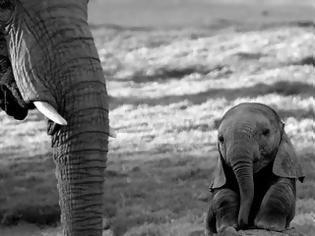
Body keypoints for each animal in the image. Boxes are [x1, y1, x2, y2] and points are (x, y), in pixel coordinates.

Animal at [206, 103, 304, 236]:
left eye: (266, 132)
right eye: (221, 139)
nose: (246, 225)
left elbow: (281, 188)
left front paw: (267, 226)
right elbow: (223, 193)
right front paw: (227, 227)